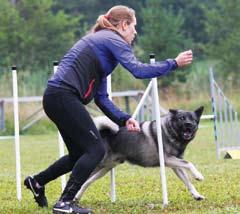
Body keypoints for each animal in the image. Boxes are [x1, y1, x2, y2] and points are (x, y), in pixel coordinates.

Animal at [75, 106, 204, 201]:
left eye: (192, 119)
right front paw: (198, 175)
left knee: (86, 182)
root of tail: (101, 133)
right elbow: (189, 163)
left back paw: (77, 197)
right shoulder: (168, 159)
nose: (188, 124)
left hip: (104, 169)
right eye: (181, 118)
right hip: (96, 166)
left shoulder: (175, 165)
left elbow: (187, 181)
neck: (171, 132)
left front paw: (196, 195)